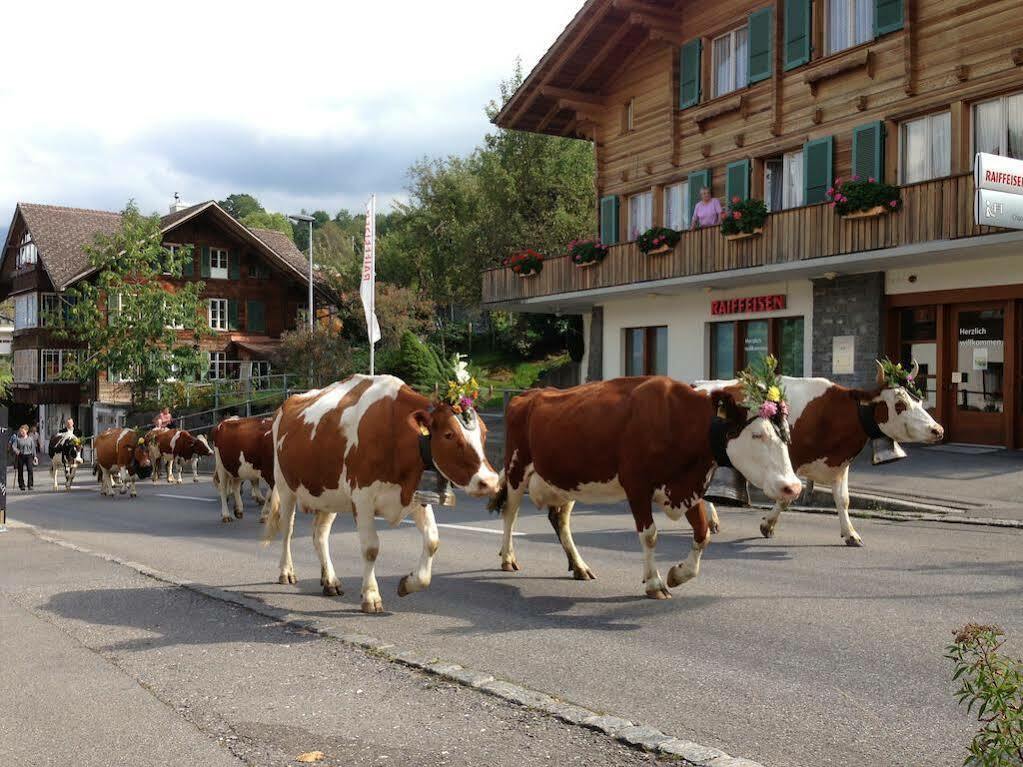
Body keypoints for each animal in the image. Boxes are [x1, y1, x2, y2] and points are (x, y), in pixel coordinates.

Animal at [263, 364, 499, 613]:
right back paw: (286, 571)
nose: (490, 481)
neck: (395, 433)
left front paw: (408, 583)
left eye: (484, 433)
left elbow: (432, 541)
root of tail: (288, 403)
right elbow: (371, 548)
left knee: (320, 534)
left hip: (329, 494)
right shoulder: (362, 498)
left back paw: (330, 581)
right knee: (287, 529)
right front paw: (371, 596)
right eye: (449, 434)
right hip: (285, 486)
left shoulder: (415, 495)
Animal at [491, 378, 802, 601]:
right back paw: (507, 558)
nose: (793, 486)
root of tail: (529, 394)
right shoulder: (637, 486)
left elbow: (702, 535)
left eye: (786, 434)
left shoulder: (687, 488)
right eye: (757, 434)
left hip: (567, 481)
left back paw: (579, 566)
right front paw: (654, 583)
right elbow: (650, 535)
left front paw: (678, 574)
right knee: (510, 513)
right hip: (517, 469)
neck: (677, 420)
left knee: (560, 520)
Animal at [699, 359, 945, 548]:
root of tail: (703, 383)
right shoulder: (790, 462)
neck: (831, 414)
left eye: (918, 399)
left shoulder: (839, 465)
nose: (938, 430)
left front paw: (851, 534)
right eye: (900, 404)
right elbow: (787, 498)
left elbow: (843, 500)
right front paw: (767, 525)